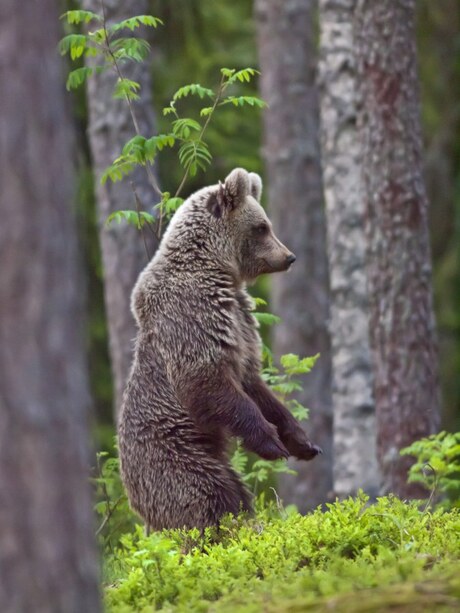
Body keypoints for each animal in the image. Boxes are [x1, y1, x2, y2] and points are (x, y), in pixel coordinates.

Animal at [117, 169, 322, 532]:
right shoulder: (195, 316)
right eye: (262, 227)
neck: (215, 268)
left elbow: (255, 384)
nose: (289, 257)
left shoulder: (241, 324)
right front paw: (271, 442)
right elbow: (207, 381)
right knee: (207, 495)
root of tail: (136, 504)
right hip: (176, 456)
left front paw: (302, 441)